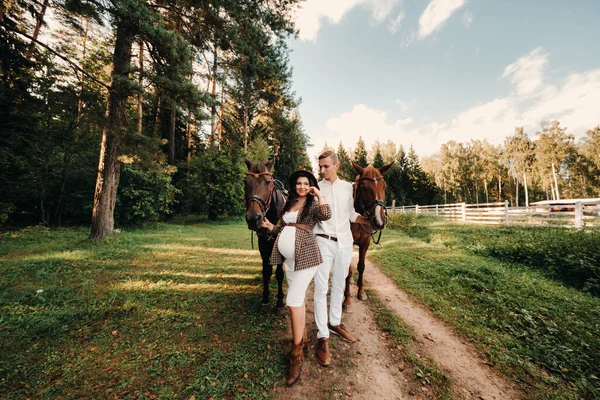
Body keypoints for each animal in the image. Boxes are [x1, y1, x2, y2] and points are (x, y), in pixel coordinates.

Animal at [243, 158, 288, 314]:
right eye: (245, 181)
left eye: (268, 182)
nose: (253, 218)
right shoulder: (263, 245)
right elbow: (266, 271)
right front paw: (265, 299)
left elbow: (279, 273)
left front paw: (280, 302)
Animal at [342, 160, 394, 306]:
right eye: (363, 186)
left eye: (384, 186)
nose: (379, 221)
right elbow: (348, 270)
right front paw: (347, 299)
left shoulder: (365, 244)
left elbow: (361, 266)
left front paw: (361, 292)